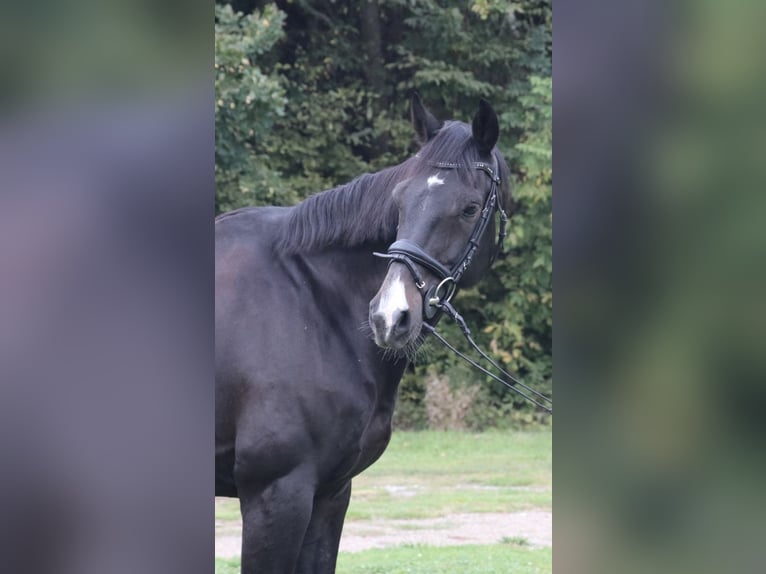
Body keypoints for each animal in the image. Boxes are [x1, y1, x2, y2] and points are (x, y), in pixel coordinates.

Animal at [216, 93, 512, 572]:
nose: (390, 316)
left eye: (469, 208)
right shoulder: (276, 494)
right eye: (400, 202)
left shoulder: (330, 493)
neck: (310, 300)